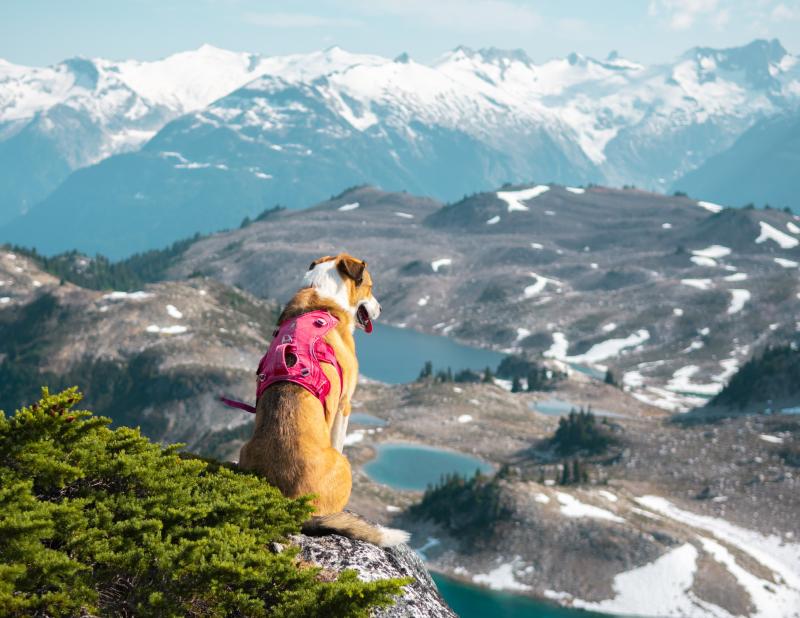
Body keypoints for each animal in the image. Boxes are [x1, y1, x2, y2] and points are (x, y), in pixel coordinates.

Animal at [239, 253, 410, 548]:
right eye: (370, 287)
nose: (381, 308)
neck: (323, 296)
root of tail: (291, 506)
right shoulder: (344, 405)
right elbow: (339, 436)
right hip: (345, 465)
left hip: (243, 449)